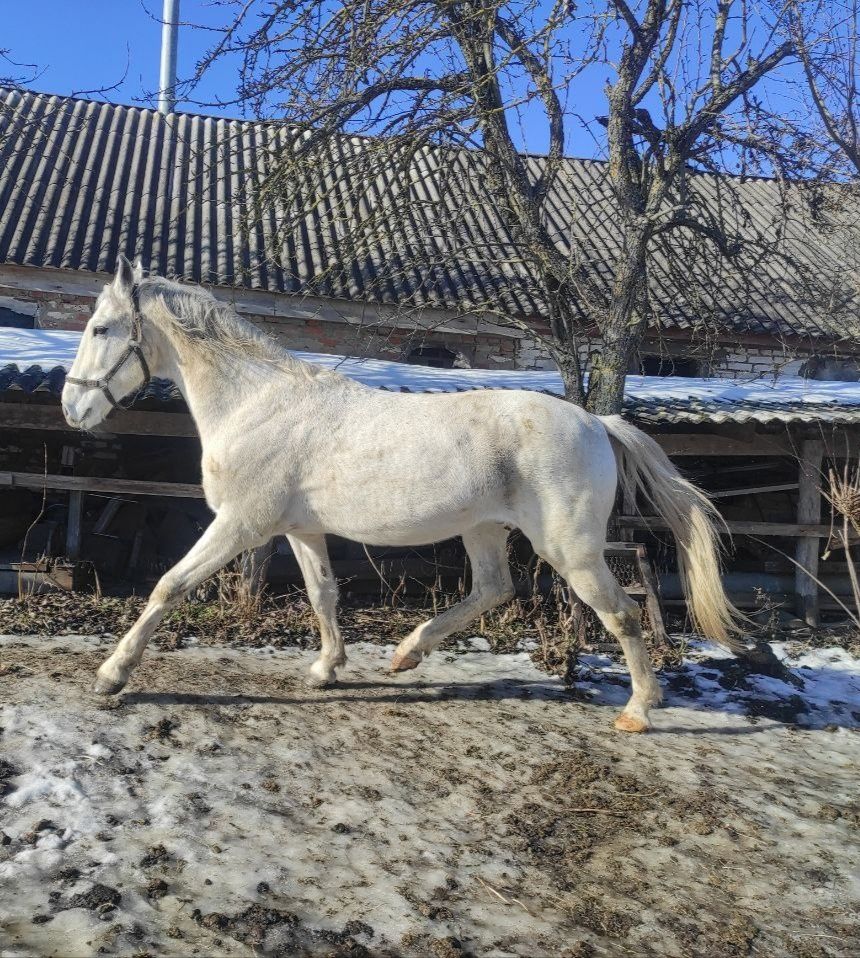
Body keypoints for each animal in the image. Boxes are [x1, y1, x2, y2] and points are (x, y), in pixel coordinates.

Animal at [63, 256, 744, 736]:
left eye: (101, 327)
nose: (73, 409)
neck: (257, 404)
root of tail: (597, 423)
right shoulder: (299, 530)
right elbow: (324, 595)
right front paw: (326, 671)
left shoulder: (240, 525)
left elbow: (168, 586)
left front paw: (111, 676)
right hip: (484, 529)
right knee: (494, 589)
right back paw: (405, 656)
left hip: (571, 549)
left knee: (621, 615)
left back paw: (638, 713)